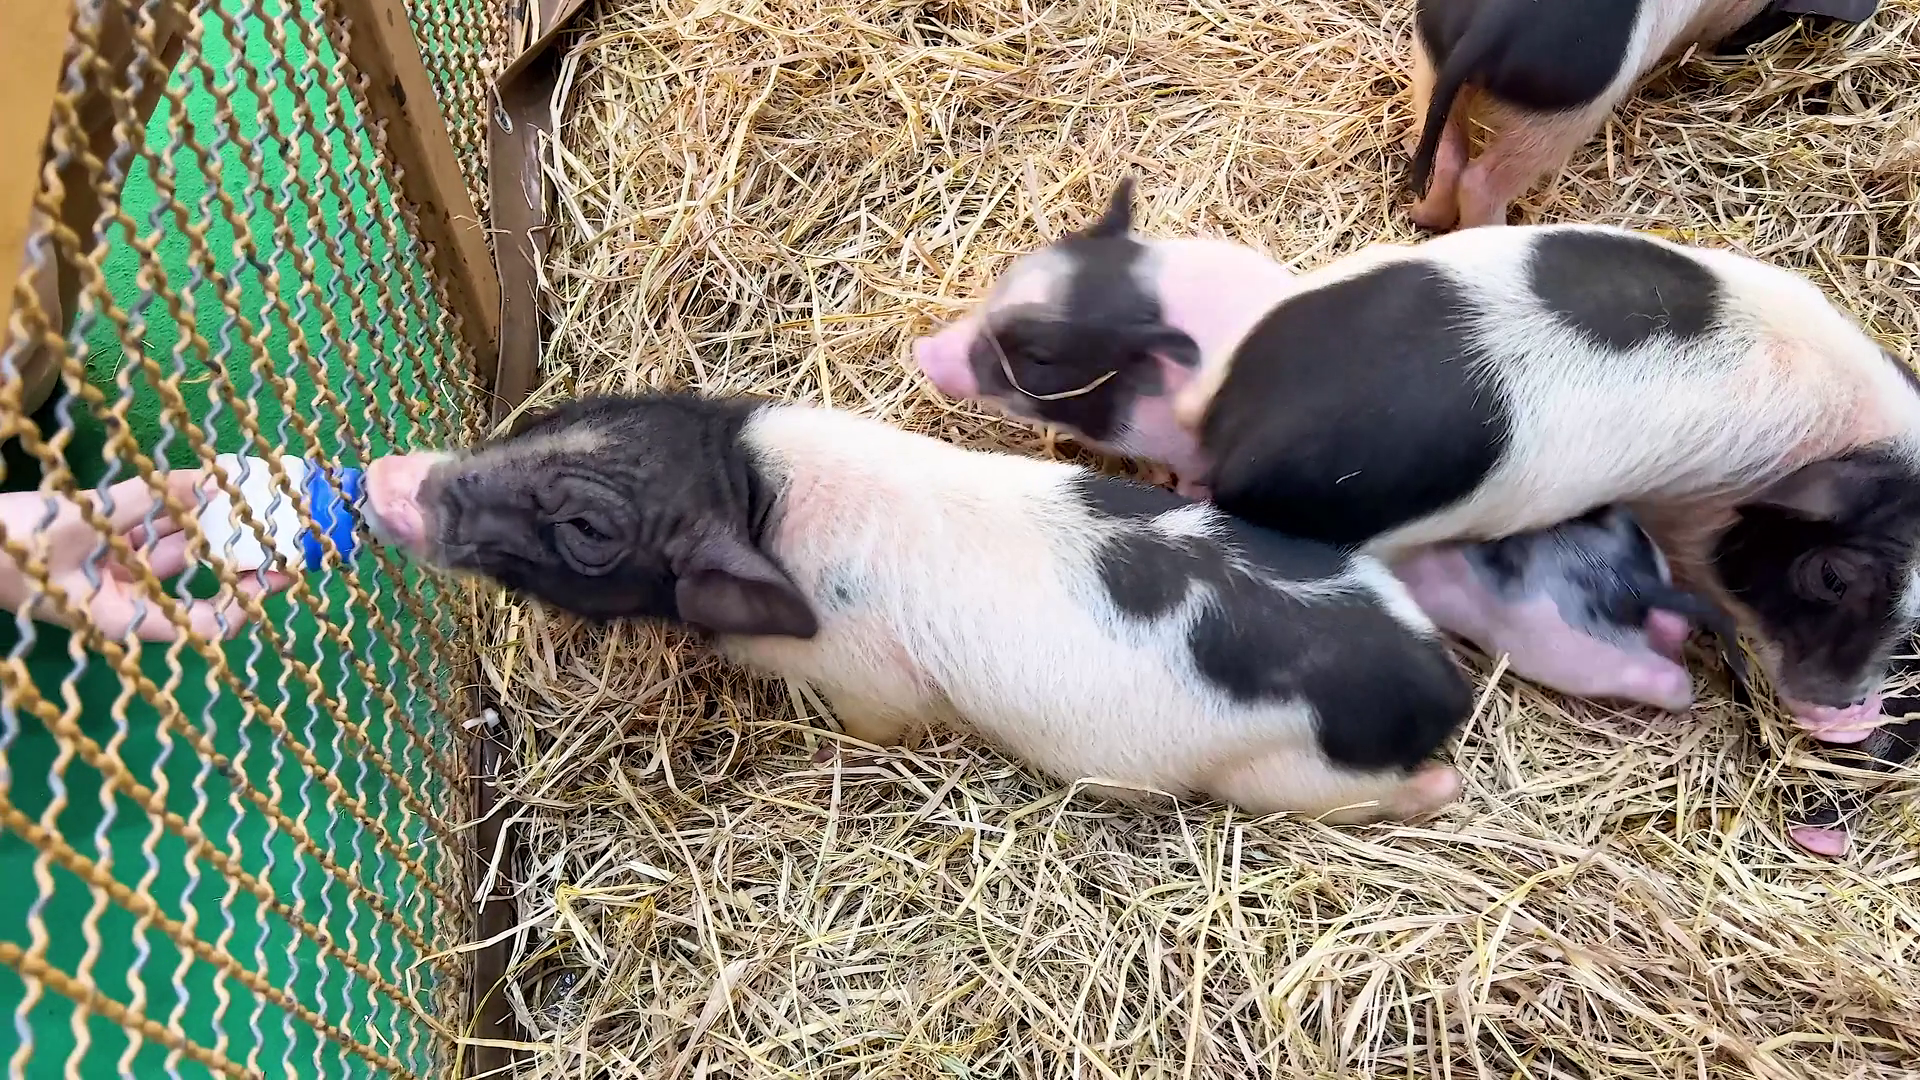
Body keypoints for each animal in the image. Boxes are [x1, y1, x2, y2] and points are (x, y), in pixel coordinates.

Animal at [362, 392, 1474, 824]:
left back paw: (1445, 787)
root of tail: (1436, 681)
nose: (385, 476)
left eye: (587, 530)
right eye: (562, 416)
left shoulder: (870, 680)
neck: (752, 495)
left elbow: (883, 728)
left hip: (1288, 776)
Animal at [1405, 0, 1878, 231]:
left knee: (1448, 153)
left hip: (1428, 55)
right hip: (1564, 117)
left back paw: (1422, 218)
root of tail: (1487, 27)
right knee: (1482, 180)